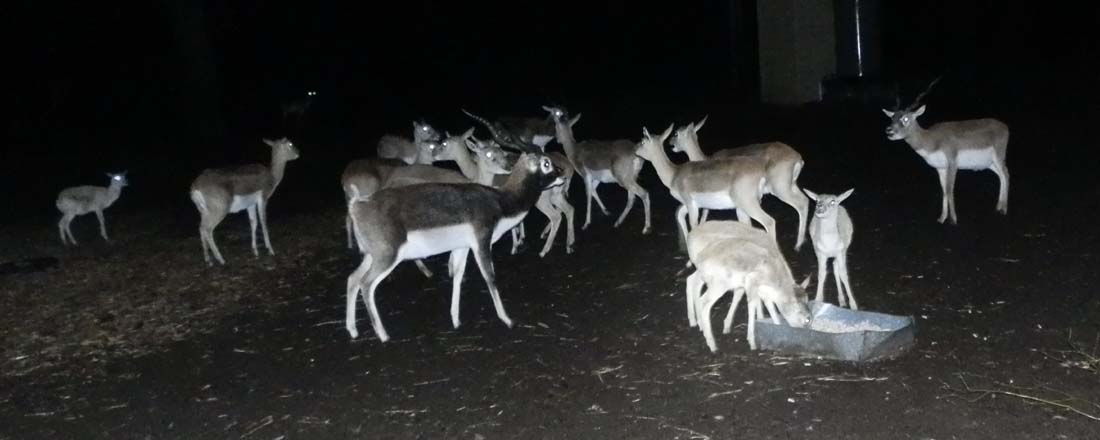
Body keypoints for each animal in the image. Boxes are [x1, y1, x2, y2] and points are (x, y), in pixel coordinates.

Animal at [345, 151, 564, 342]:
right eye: (546, 163)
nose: (562, 173)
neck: (500, 202)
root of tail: (357, 205)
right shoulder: (482, 242)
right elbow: (489, 277)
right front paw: (507, 319)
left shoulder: (462, 248)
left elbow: (457, 277)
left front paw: (456, 319)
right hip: (387, 257)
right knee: (366, 285)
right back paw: (383, 335)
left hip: (372, 256)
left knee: (352, 279)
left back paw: (353, 330)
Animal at [634, 125, 775, 245]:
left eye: (642, 141)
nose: (635, 150)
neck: (675, 173)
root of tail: (761, 170)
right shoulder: (692, 205)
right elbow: (680, 216)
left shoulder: (690, 203)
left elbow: (694, 225)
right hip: (741, 208)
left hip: (748, 204)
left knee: (769, 222)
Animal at [670, 116, 810, 250]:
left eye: (676, 133)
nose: (670, 143)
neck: (706, 159)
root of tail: (797, 157)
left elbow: (705, 210)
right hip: (792, 185)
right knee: (805, 200)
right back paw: (800, 243)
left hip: (780, 190)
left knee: (799, 205)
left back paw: (797, 245)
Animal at [686, 220, 811, 352]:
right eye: (805, 318)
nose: (804, 328)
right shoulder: (752, 282)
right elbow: (752, 304)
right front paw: (752, 341)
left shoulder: (759, 289)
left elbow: (769, 305)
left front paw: (777, 326)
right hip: (718, 285)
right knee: (703, 299)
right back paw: (711, 343)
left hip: (704, 277)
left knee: (691, 281)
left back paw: (697, 324)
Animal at [881, 84, 1010, 223]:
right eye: (892, 118)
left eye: (905, 118)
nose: (889, 131)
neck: (931, 140)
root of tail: (1005, 127)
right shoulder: (940, 168)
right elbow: (943, 191)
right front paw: (942, 218)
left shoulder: (952, 164)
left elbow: (949, 190)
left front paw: (953, 219)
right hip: (989, 164)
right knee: (1001, 176)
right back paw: (999, 207)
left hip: (998, 157)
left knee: (1006, 174)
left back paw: (1004, 209)